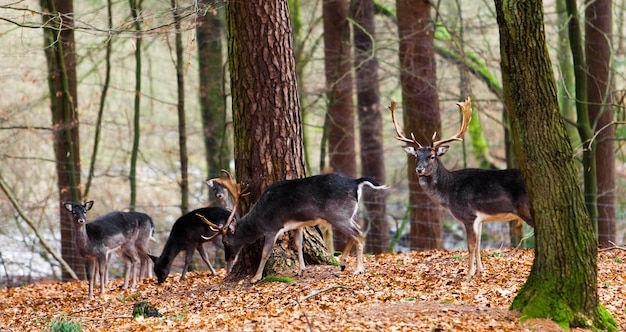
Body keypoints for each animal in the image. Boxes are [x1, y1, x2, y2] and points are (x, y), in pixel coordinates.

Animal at [195, 171, 386, 282]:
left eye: (225, 241)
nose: (227, 257)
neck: (258, 220)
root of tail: (356, 182)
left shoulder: (271, 228)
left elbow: (265, 253)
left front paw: (255, 278)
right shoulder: (298, 225)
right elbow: (298, 244)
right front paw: (301, 270)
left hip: (338, 214)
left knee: (358, 233)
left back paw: (358, 269)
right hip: (344, 215)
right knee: (354, 233)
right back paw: (343, 262)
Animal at [390, 96, 532, 278]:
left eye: (432, 156)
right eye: (416, 156)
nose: (419, 169)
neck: (449, 193)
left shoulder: (468, 215)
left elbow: (470, 246)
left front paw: (469, 274)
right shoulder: (480, 219)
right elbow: (478, 245)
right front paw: (481, 270)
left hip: (526, 208)